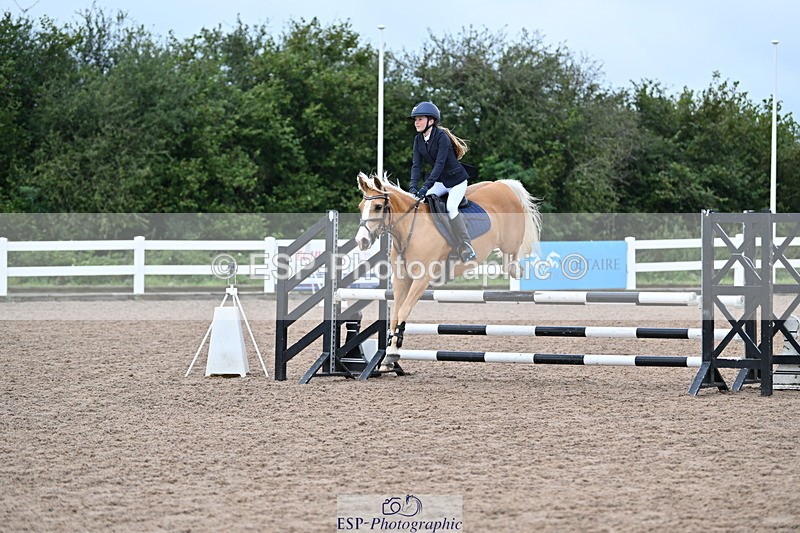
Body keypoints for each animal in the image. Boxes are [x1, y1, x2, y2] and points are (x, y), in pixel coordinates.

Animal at [355, 172, 541, 367]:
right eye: (361, 207)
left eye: (378, 207)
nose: (362, 241)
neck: (411, 231)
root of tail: (502, 185)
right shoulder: (401, 280)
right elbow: (396, 313)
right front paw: (390, 354)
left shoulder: (422, 279)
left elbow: (404, 309)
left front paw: (392, 352)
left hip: (509, 240)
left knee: (513, 252)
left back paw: (516, 270)